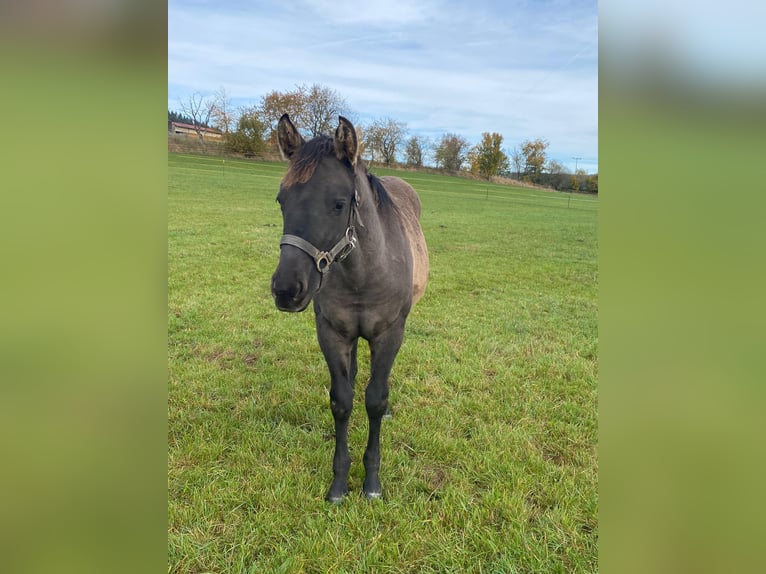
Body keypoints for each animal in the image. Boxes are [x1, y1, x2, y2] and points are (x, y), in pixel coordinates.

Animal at [270, 115, 428, 502]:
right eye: (282, 200)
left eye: (339, 204)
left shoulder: (389, 335)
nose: (286, 290)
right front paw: (340, 483)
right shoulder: (332, 332)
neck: (363, 274)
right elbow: (342, 400)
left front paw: (371, 483)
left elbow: (376, 399)